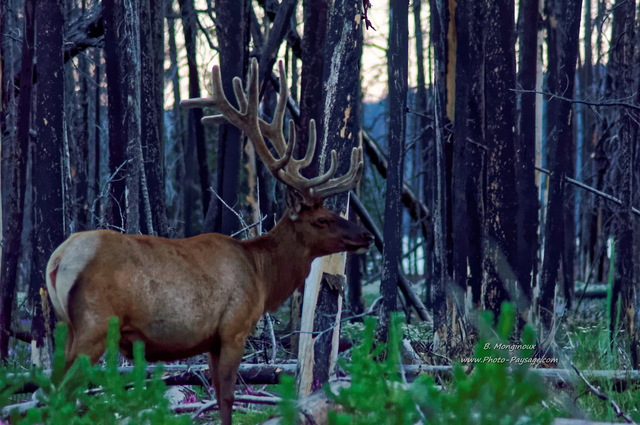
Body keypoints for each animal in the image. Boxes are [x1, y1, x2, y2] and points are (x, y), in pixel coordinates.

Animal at [46, 57, 370, 424]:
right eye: (322, 219)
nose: (366, 235)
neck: (262, 275)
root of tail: (59, 259)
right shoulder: (233, 327)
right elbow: (226, 397)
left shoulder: (212, 340)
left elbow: (217, 394)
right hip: (96, 323)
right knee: (60, 391)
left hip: (66, 326)